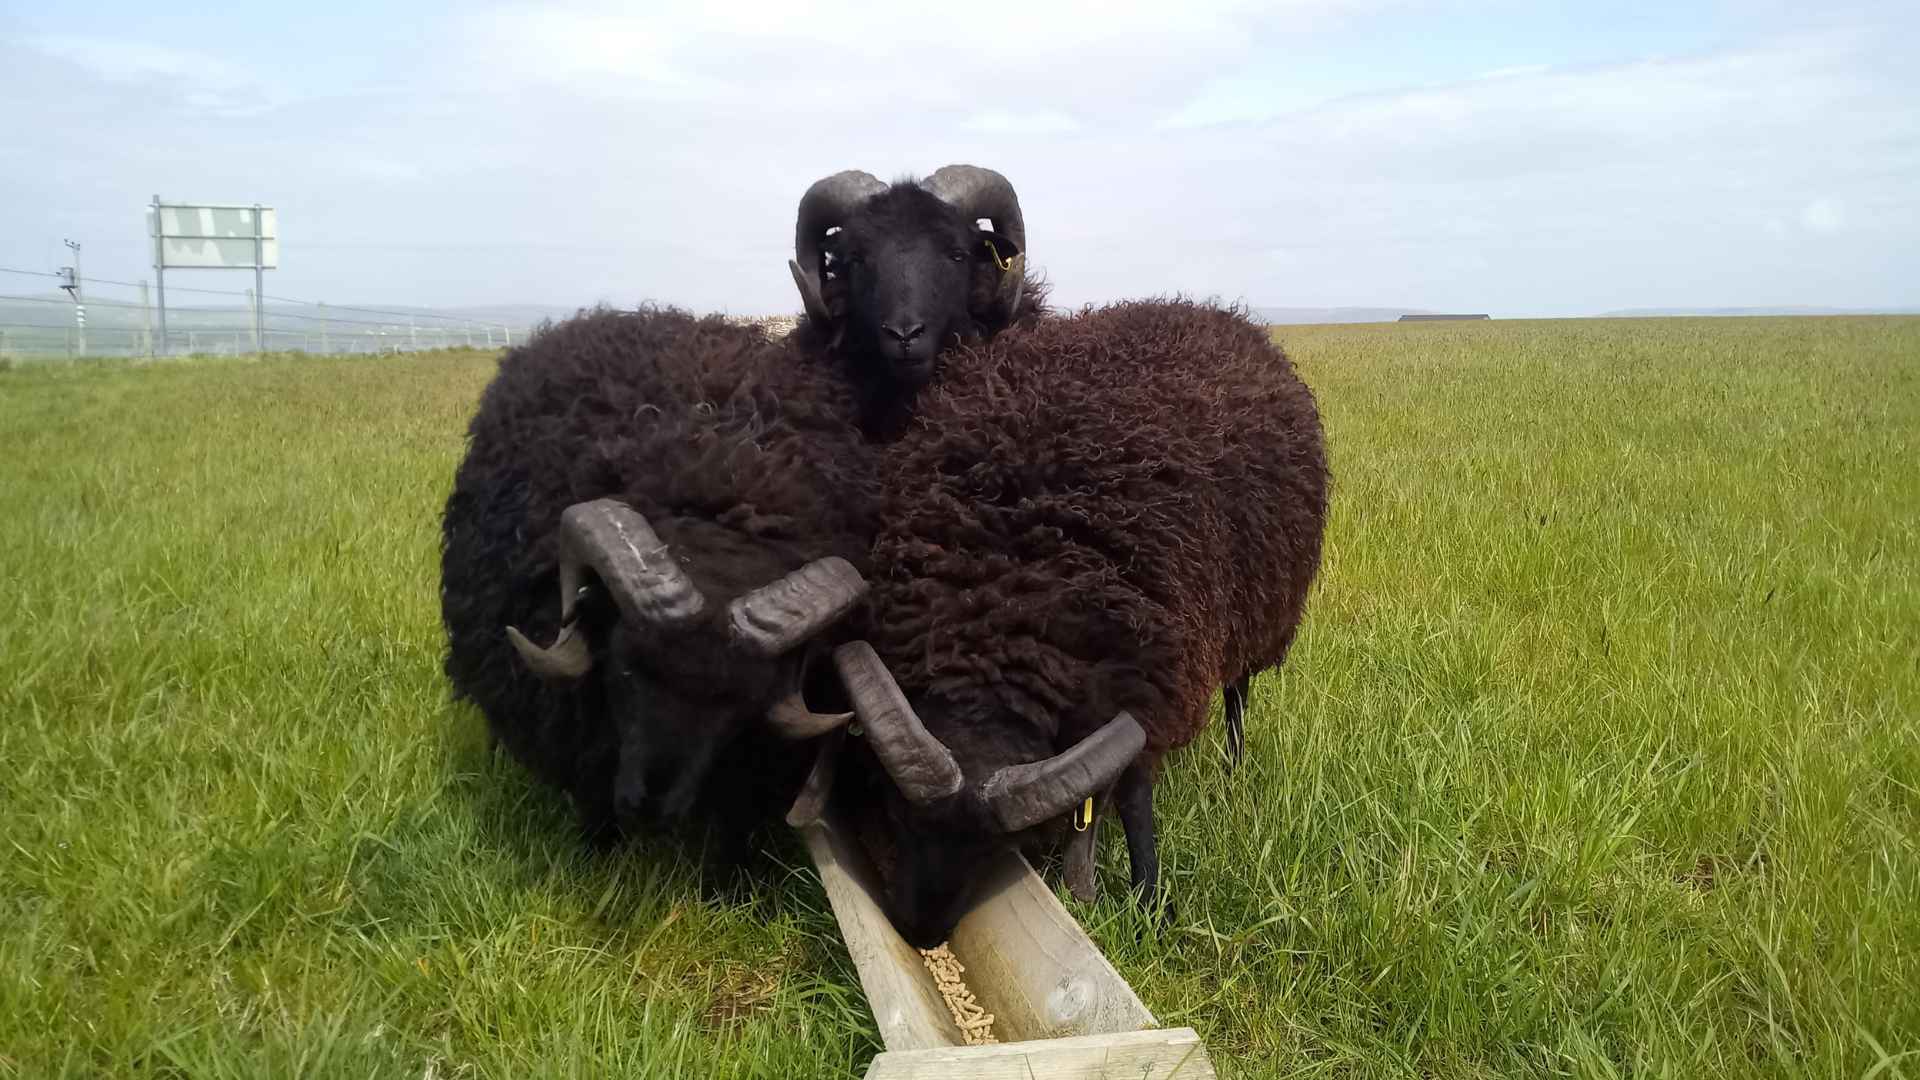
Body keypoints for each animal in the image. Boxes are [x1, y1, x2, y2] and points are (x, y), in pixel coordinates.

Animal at [830, 298, 1330, 947]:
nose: (922, 933)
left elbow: (1136, 797)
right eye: (895, 811)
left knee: (1239, 694)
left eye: (1003, 844)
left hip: (1259, 613)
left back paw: (1234, 768)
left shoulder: (1146, 675)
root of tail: (1219, 313)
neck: (1005, 601)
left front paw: (1151, 904)